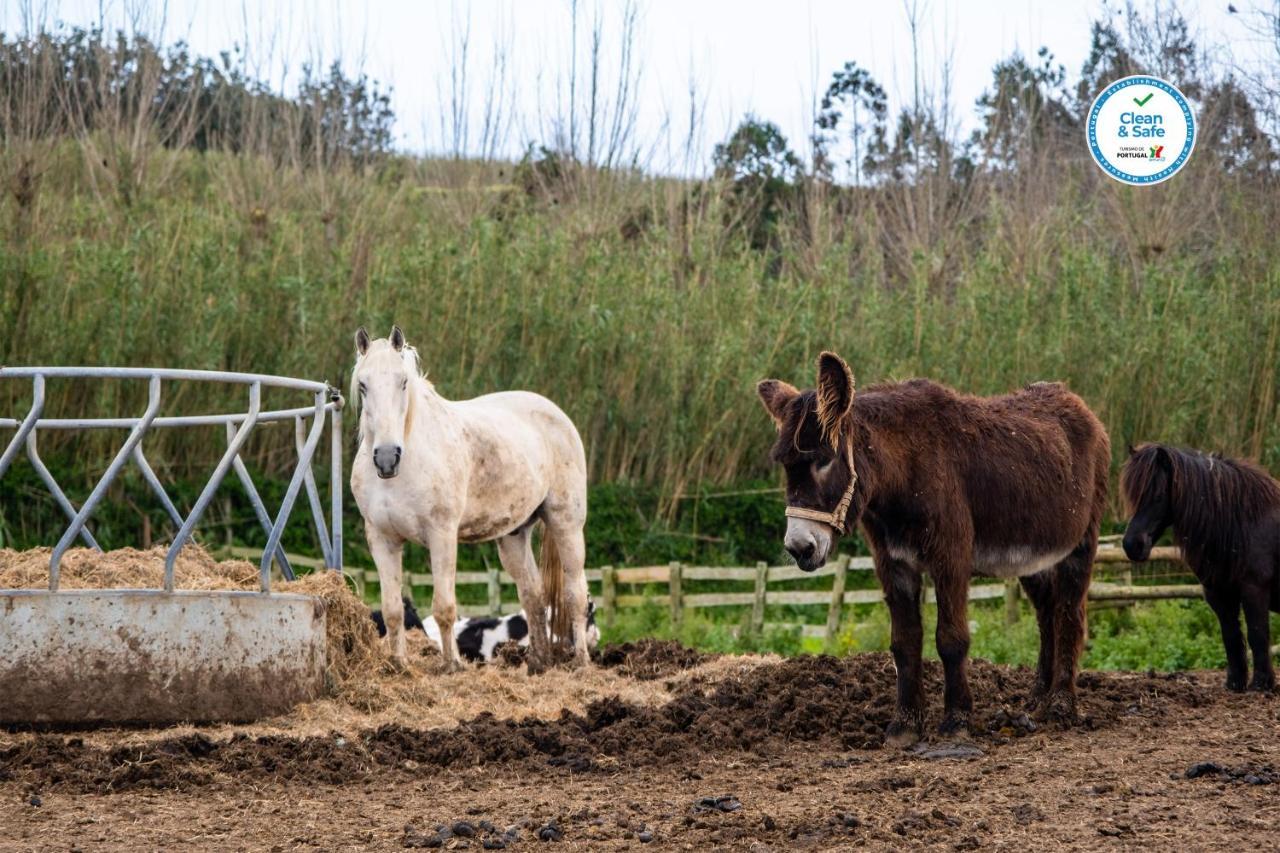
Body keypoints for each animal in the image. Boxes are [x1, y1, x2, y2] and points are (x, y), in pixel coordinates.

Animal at [757, 350, 1111, 742]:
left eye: (823, 460)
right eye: (786, 467)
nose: (799, 548)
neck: (903, 475)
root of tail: (1075, 401)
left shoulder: (950, 557)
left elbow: (951, 639)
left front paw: (957, 720)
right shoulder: (893, 562)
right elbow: (904, 642)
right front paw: (905, 725)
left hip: (1080, 542)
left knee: (1070, 614)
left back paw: (1061, 705)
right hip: (1032, 554)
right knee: (1047, 612)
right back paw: (1038, 698)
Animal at [1121, 445, 1280, 691]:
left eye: (1158, 495)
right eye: (1133, 495)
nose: (1132, 545)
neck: (1244, 523)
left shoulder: (1255, 590)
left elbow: (1257, 634)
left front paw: (1261, 685)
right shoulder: (1218, 594)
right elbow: (1231, 636)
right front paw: (1235, 683)